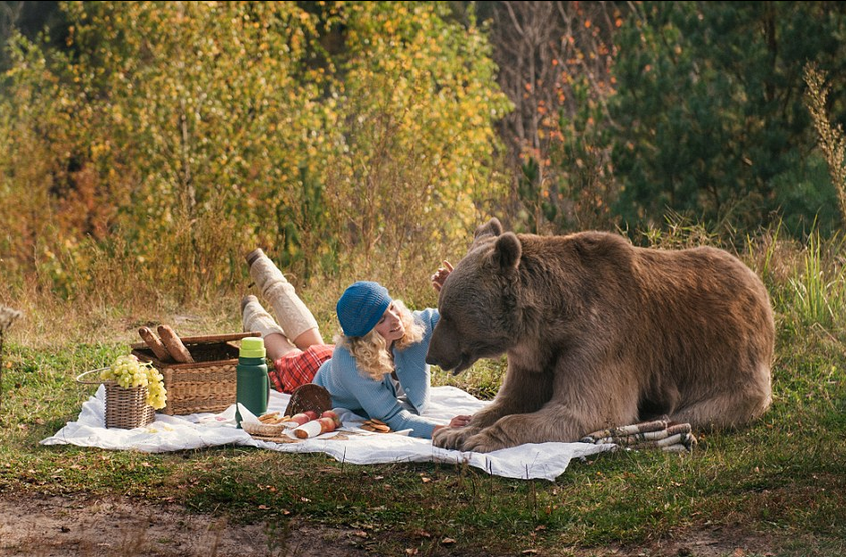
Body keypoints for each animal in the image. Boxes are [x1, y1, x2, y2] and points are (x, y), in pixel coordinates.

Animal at [428, 217, 780, 452]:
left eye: (447, 314)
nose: (431, 355)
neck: (548, 325)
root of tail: (758, 286)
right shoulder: (536, 359)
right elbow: (511, 401)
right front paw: (454, 431)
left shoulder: (600, 339)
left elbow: (586, 410)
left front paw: (479, 439)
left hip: (732, 370)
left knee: (701, 410)